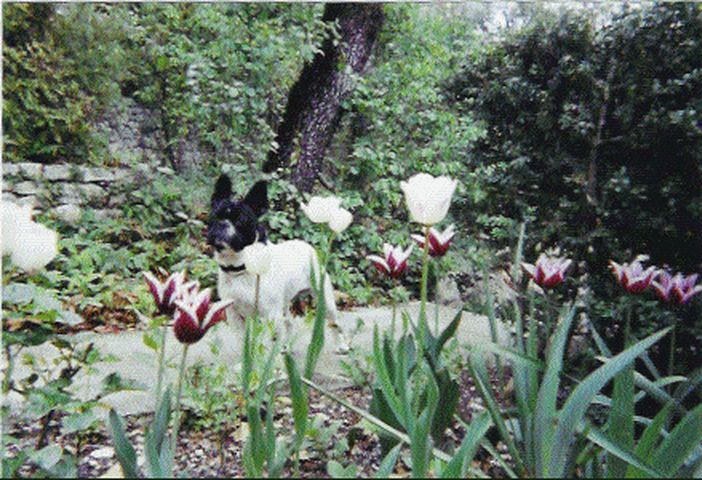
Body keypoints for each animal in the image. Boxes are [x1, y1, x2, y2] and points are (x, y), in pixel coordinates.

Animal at [208, 174, 350, 350]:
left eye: (240, 222)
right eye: (214, 216)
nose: (222, 224)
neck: (240, 268)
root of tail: (306, 246)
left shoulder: (270, 314)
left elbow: (268, 343)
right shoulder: (234, 314)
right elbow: (243, 342)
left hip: (324, 298)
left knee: (334, 323)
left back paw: (341, 344)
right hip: (284, 304)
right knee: (289, 322)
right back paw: (285, 347)